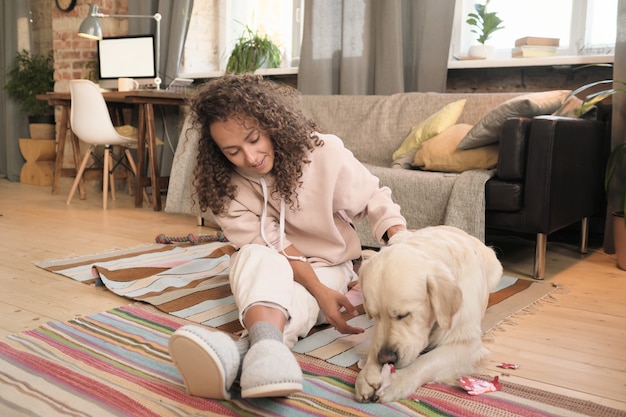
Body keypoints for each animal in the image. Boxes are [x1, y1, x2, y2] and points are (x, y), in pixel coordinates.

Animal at [354, 226, 500, 402]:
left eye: (404, 315)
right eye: (375, 316)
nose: (385, 359)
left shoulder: (468, 344)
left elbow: (427, 361)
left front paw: (396, 381)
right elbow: (375, 342)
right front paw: (367, 374)